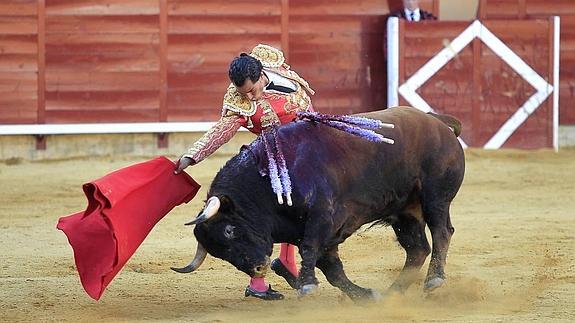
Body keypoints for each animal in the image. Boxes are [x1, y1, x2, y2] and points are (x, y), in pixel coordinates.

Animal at [173, 107, 466, 302]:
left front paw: (306, 285)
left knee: (441, 232)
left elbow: (310, 249)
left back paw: (433, 280)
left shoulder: (323, 217)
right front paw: (365, 296)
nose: (258, 268)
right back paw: (394, 292)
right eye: (218, 253)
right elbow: (332, 270)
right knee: (417, 249)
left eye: (229, 230)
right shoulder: (320, 233)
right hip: (405, 212)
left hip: (435, 197)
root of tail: (437, 121)